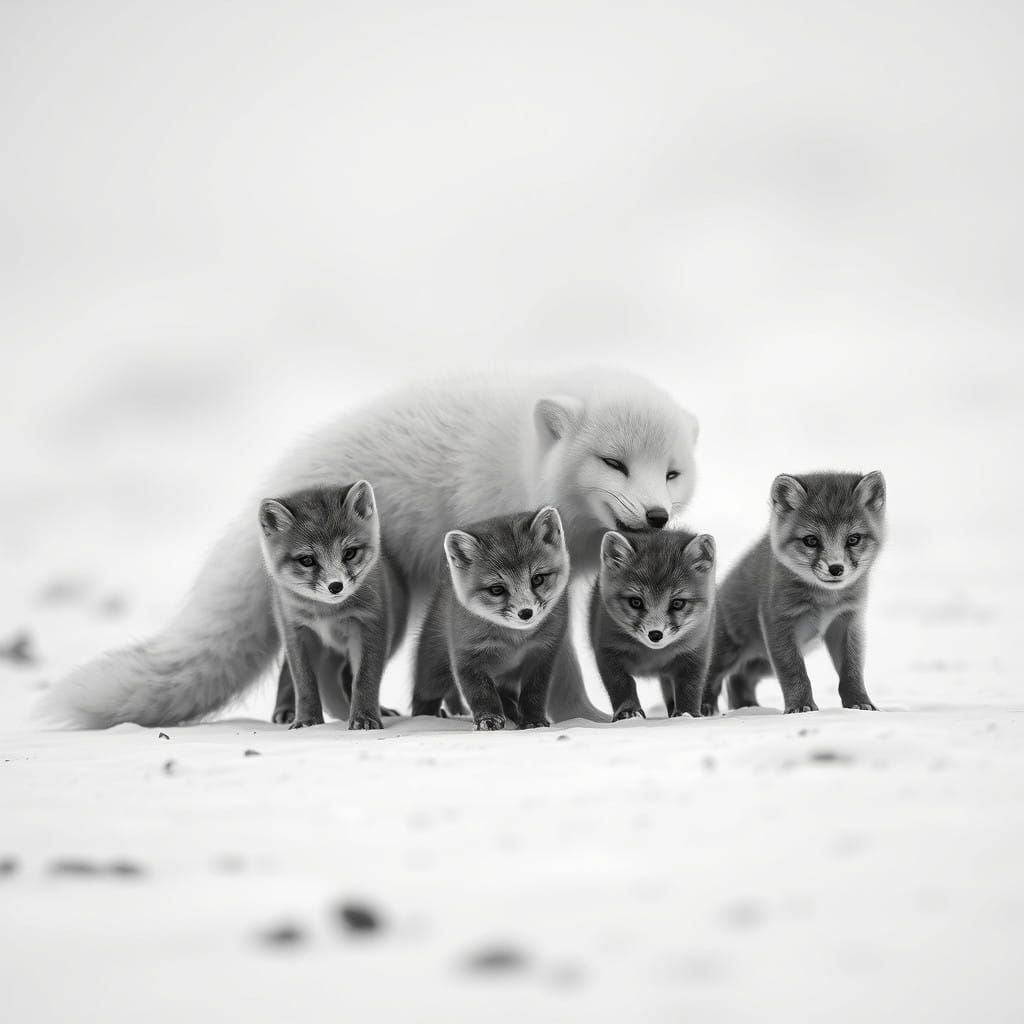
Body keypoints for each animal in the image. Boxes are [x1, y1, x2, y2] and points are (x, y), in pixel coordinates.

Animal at [258, 482, 408, 730]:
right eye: (307, 560)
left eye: (349, 553)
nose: (335, 586)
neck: (328, 615)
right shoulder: (297, 632)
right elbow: (304, 683)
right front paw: (307, 720)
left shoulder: (370, 626)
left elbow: (365, 680)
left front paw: (364, 718)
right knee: (287, 675)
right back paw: (286, 710)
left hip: (392, 639)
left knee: (347, 678)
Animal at [412, 507, 570, 730]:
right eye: (497, 589)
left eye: (538, 579)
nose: (526, 613)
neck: (514, 642)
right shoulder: (467, 657)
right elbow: (482, 694)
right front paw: (488, 720)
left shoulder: (542, 654)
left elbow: (534, 695)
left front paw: (533, 721)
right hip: (434, 676)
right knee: (422, 697)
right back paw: (424, 718)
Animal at [589, 529, 716, 721]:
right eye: (636, 602)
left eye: (677, 603)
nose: (655, 634)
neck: (652, 658)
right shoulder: (607, 651)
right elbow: (622, 684)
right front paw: (628, 711)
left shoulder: (696, 654)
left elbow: (690, 688)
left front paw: (688, 714)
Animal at [702, 471, 886, 716]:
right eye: (811, 540)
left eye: (853, 539)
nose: (836, 568)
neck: (825, 601)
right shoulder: (779, 623)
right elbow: (794, 672)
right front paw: (801, 707)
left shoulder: (847, 620)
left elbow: (852, 671)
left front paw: (859, 704)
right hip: (729, 654)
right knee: (708, 680)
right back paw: (700, 710)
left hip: (762, 664)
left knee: (738, 680)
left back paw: (749, 709)